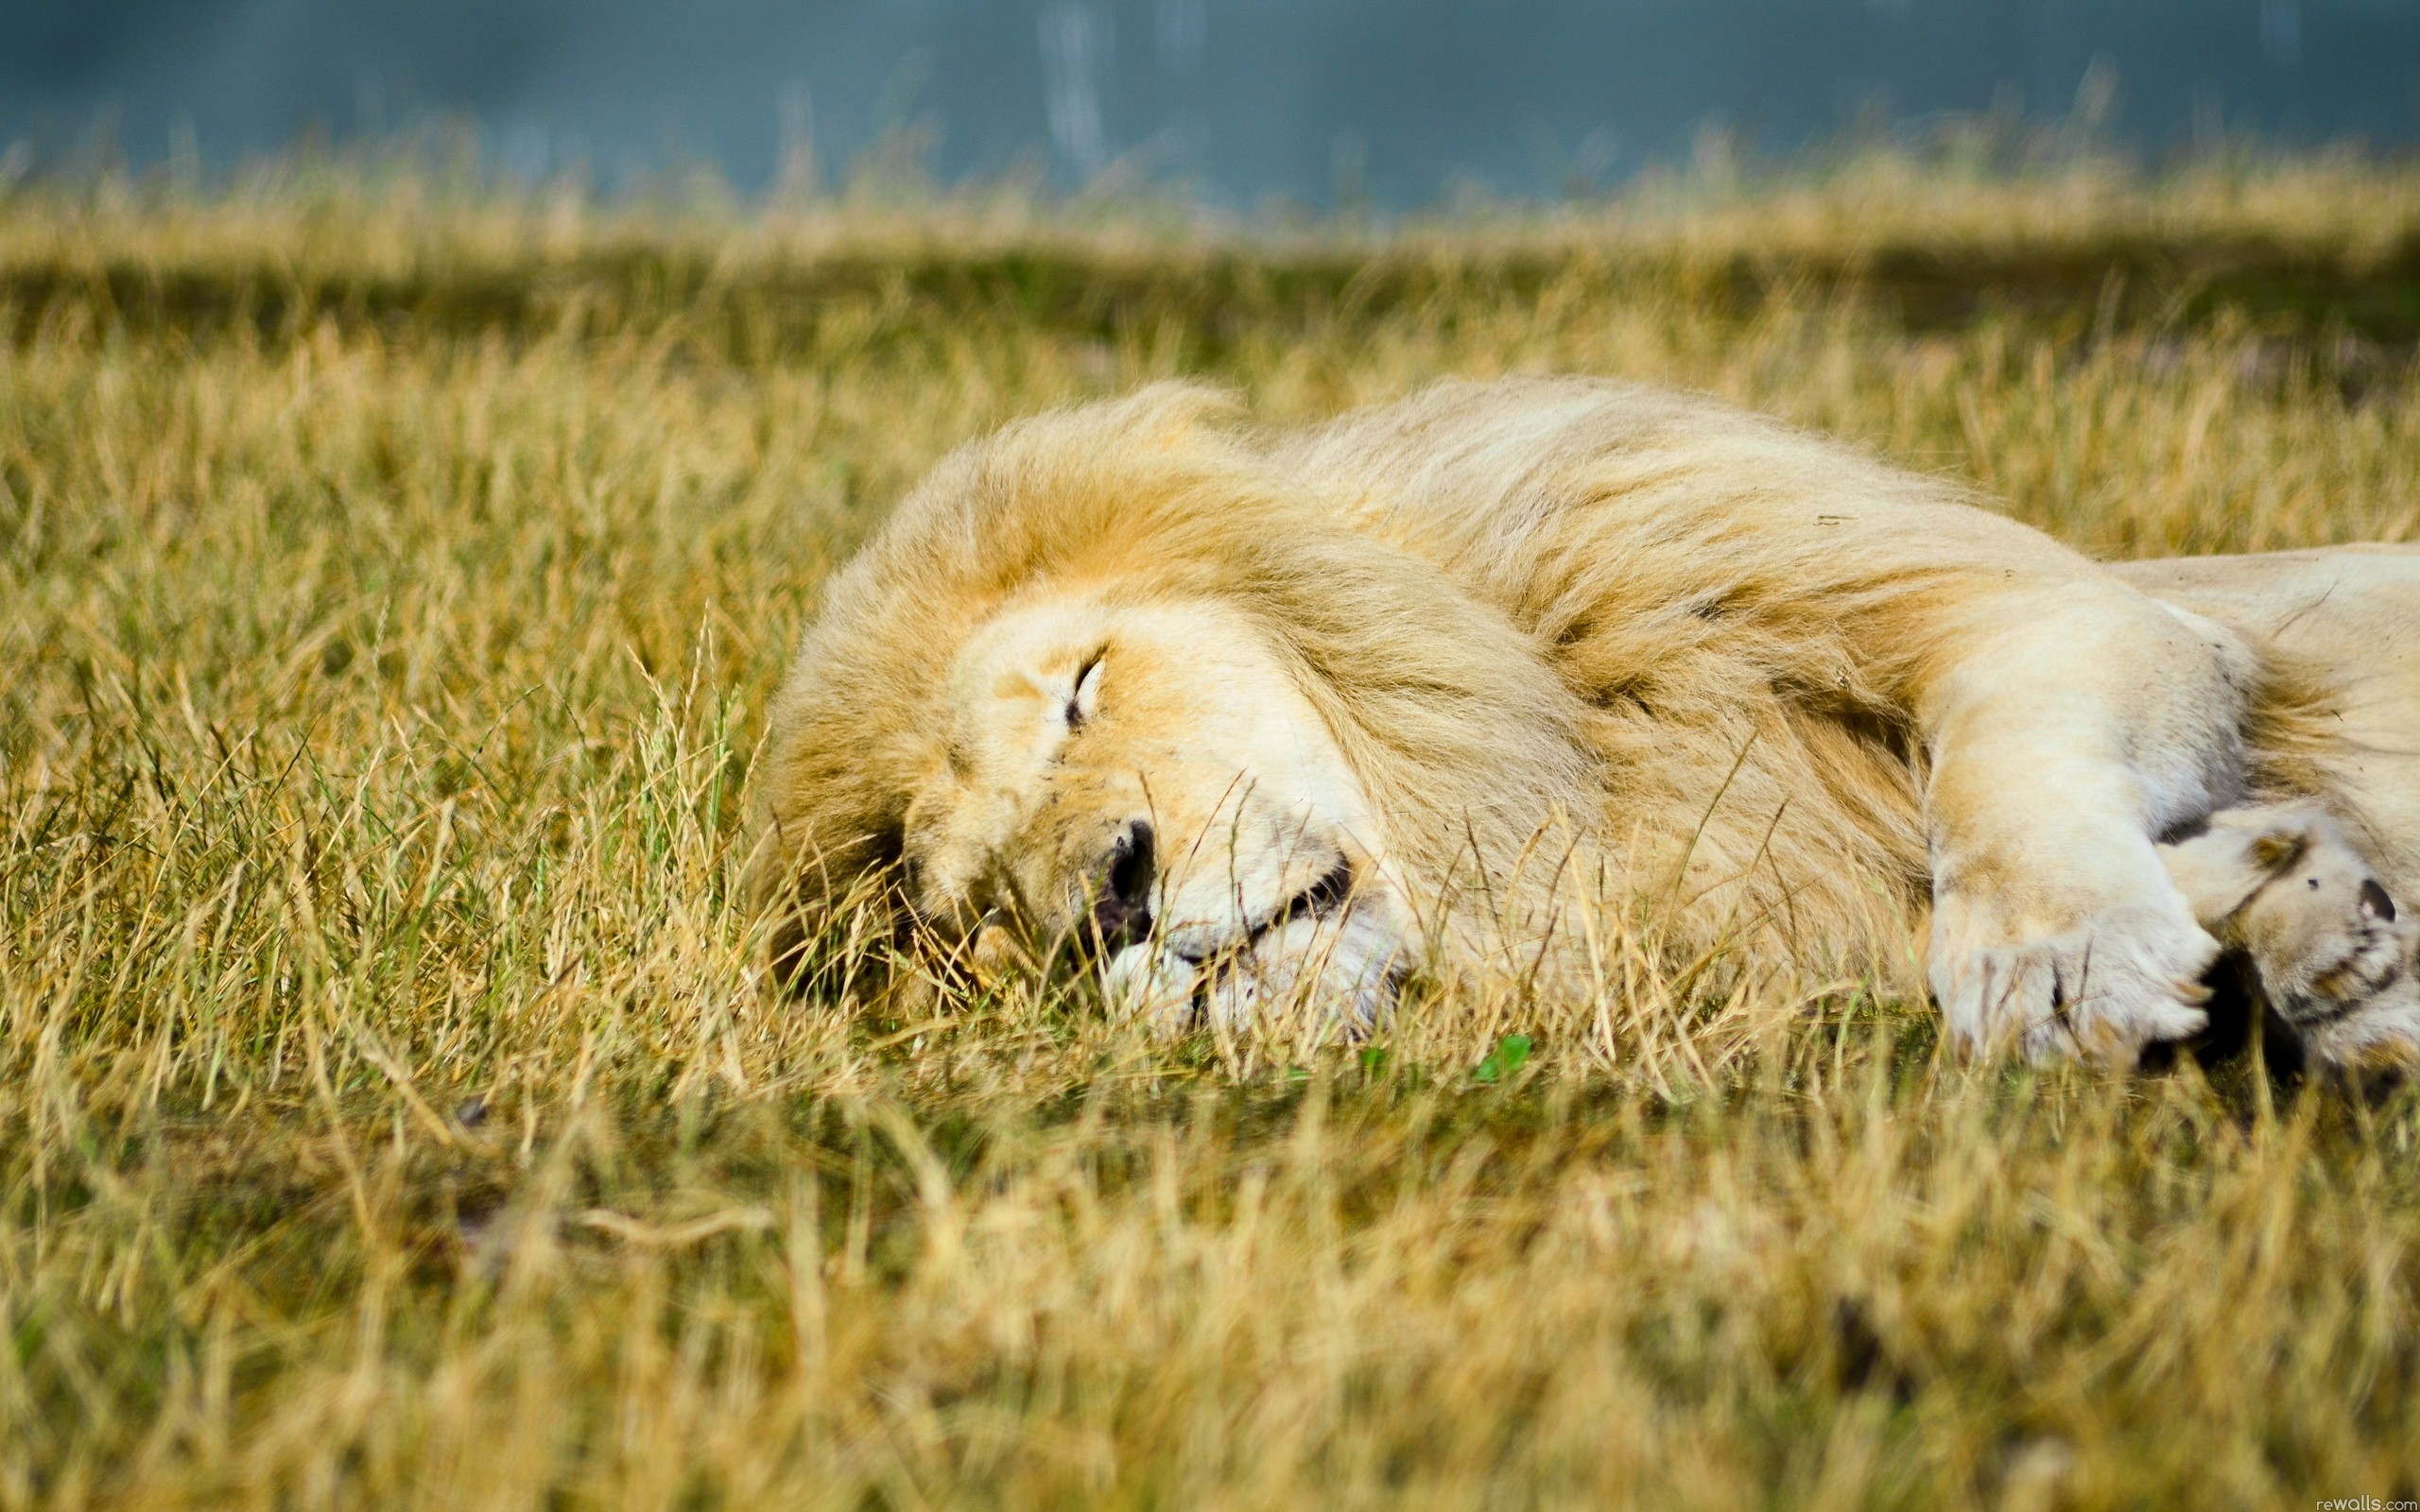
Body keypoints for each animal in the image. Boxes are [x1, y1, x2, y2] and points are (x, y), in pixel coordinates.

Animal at [745, 374, 2420, 1059]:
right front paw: (2304, 920)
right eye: (989, 913)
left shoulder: (2052, 617)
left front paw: (2063, 964)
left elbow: (1997, 780)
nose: (1119, 895)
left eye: (1084, 690)